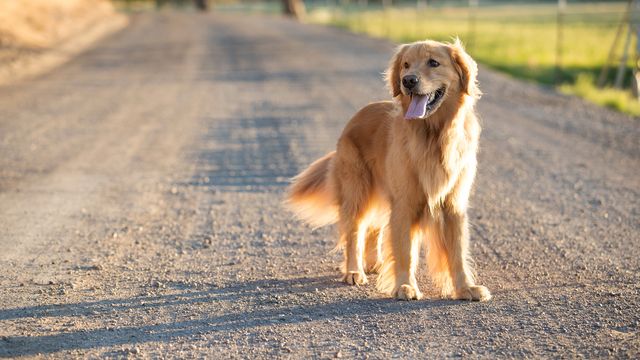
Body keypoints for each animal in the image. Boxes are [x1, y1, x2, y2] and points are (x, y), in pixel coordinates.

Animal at [288, 38, 492, 300]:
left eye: (433, 63)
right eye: (406, 65)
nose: (408, 81)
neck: (434, 136)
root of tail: (354, 118)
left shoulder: (453, 205)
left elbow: (457, 253)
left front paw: (465, 287)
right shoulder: (405, 203)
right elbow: (405, 251)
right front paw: (405, 286)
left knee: (373, 228)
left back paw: (374, 263)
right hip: (357, 191)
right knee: (354, 232)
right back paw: (354, 271)